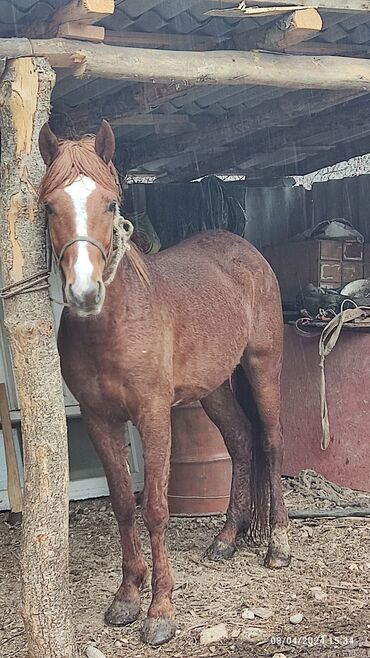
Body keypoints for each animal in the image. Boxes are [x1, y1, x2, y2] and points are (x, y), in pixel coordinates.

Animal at [38, 119, 292, 644]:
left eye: (109, 204)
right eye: (50, 205)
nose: (85, 292)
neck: (112, 324)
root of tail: (245, 251)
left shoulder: (153, 415)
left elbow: (155, 507)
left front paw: (160, 611)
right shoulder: (100, 418)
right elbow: (122, 502)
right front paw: (126, 597)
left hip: (263, 367)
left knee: (271, 443)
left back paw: (277, 546)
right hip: (214, 389)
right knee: (241, 441)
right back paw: (226, 540)